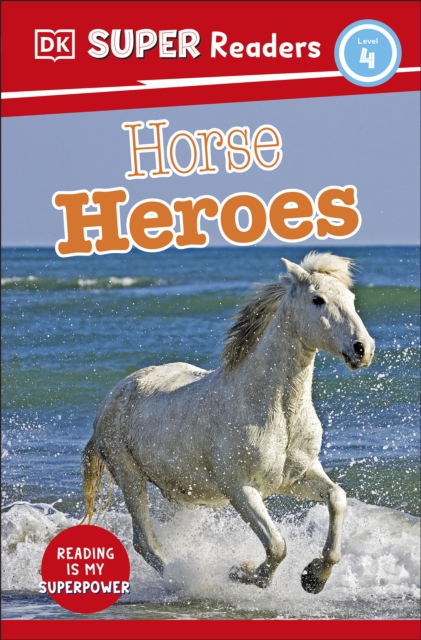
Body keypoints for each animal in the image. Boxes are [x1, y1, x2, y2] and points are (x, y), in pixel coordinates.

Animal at [82, 252, 375, 594]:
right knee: (145, 541)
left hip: (179, 492)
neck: (276, 413)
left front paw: (315, 577)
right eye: (318, 299)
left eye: (351, 299)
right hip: (129, 476)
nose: (362, 349)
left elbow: (337, 498)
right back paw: (181, 580)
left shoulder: (296, 478)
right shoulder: (240, 489)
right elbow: (277, 545)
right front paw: (244, 574)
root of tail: (112, 397)